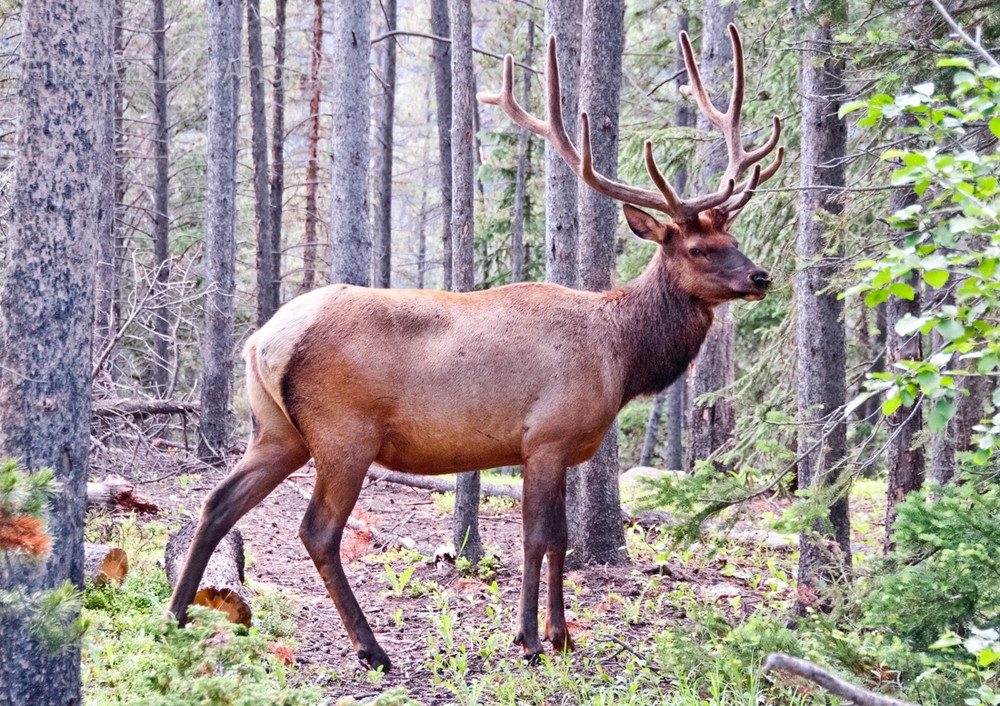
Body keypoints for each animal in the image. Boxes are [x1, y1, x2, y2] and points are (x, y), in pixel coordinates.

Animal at [167, 23, 782, 672]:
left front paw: (562, 636)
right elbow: (540, 539)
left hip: (276, 429)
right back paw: (371, 648)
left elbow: (558, 539)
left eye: (734, 238)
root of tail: (262, 339)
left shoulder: (555, 447)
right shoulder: (546, 437)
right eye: (697, 249)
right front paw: (533, 639)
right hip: (343, 431)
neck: (618, 357)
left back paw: (176, 614)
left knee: (217, 502)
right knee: (318, 529)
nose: (761, 276)